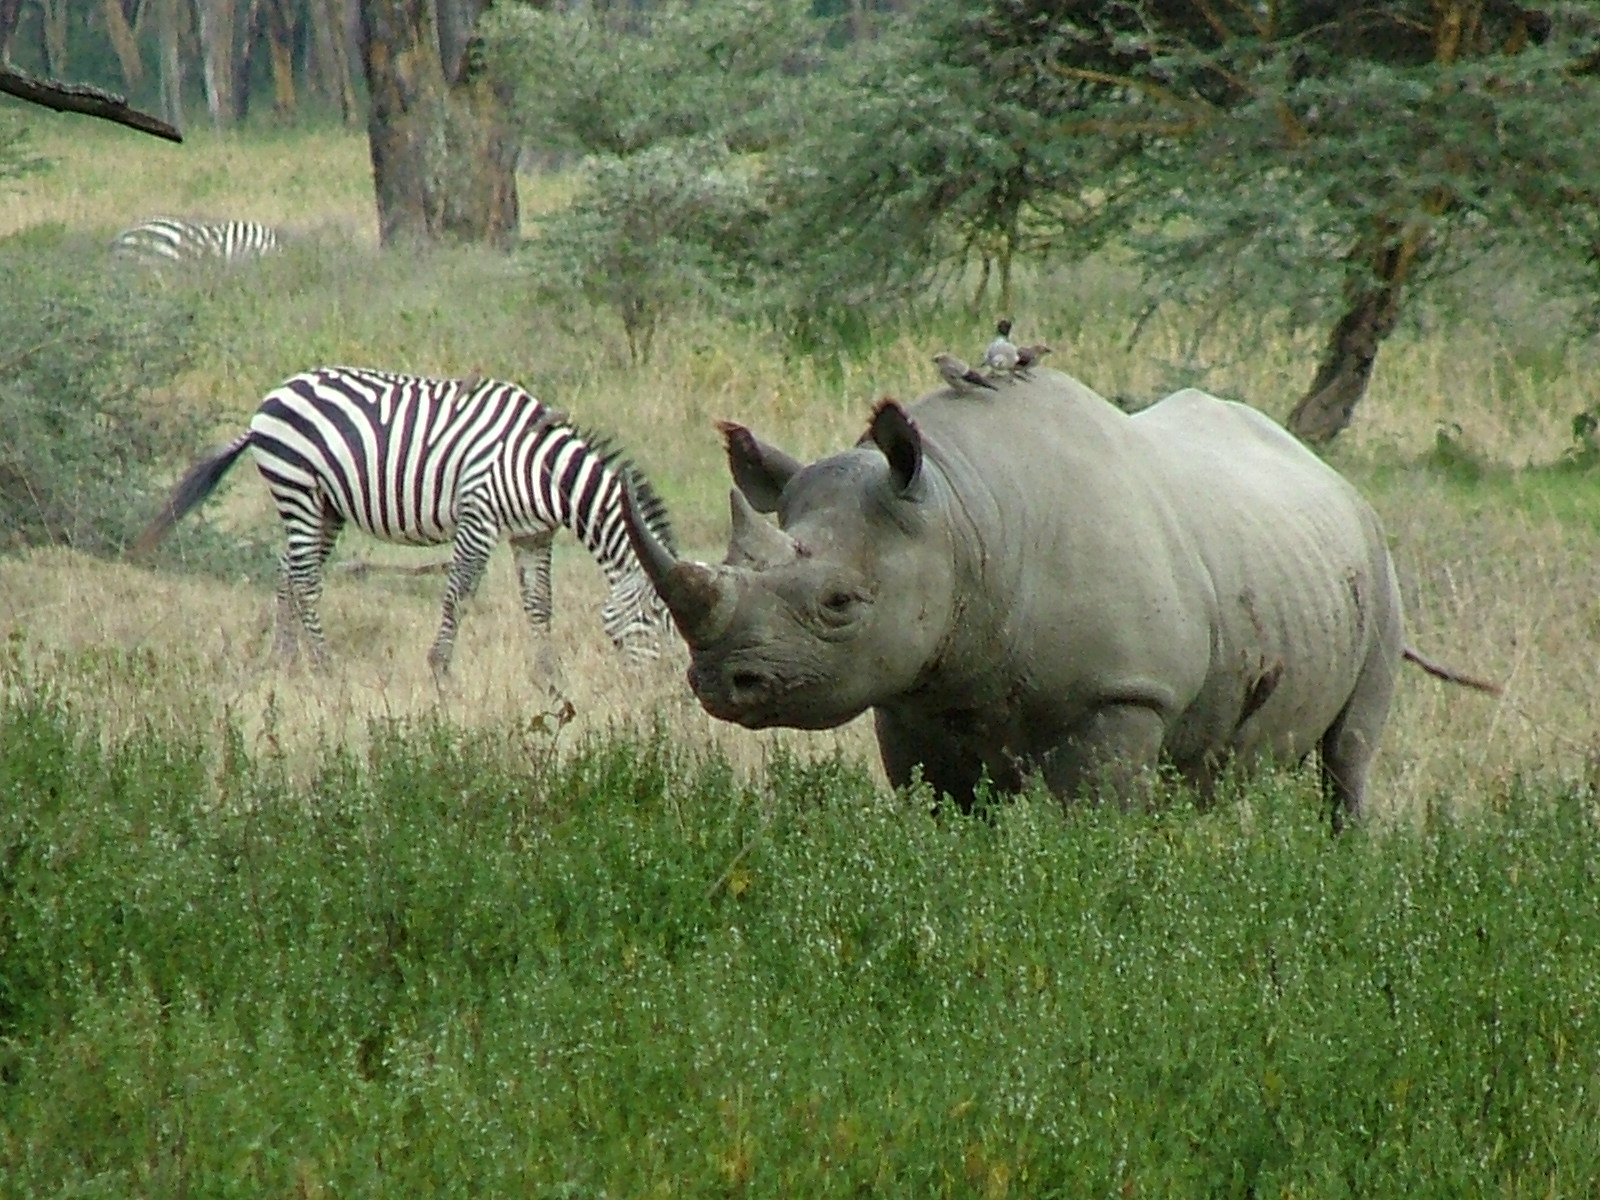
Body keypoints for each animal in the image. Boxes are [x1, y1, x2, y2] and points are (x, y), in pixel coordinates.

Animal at [134, 367, 677, 675]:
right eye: (656, 617)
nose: (668, 686)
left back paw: (284, 662)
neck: (541, 469)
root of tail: (272, 397)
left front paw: (548, 678)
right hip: (297, 487)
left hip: (325, 505)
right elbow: (458, 593)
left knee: (288, 571)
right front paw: (440, 669)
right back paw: (325, 667)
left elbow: (540, 605)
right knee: (306, 579)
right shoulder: (478, 516)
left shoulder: (532, 536)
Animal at [624, 369, 1497, 827]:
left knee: (1348, 755)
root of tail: (1331, 475)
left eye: (840, 602)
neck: (961, 515)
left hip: (1378, 566)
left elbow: (1095, 818)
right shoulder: (914, 694)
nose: (719, 681)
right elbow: (942, 813)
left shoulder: (1122, 696)